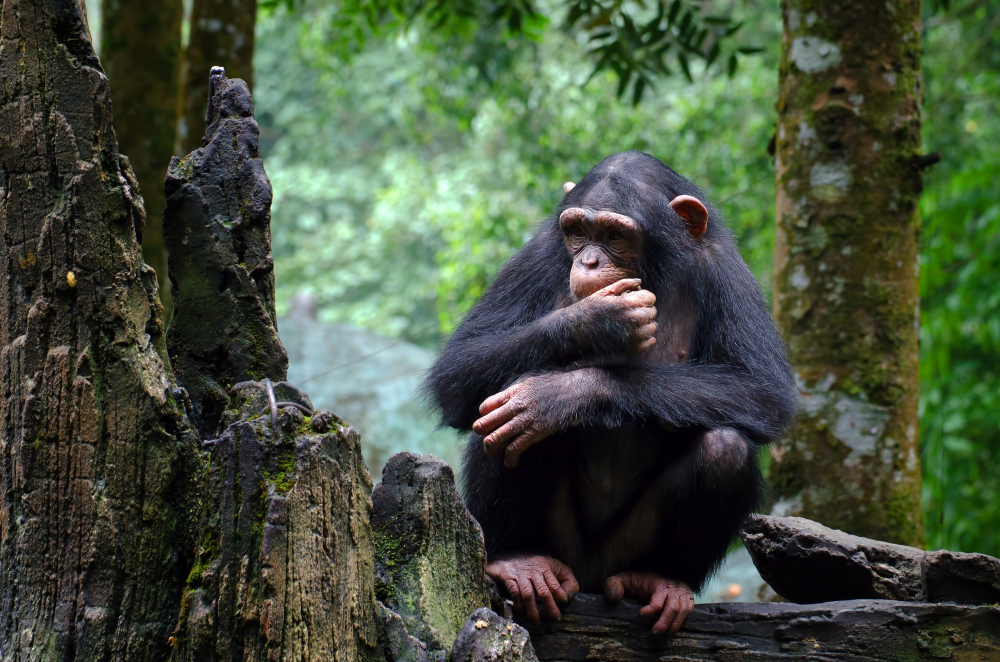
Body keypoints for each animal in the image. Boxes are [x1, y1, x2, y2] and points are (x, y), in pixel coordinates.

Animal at [425, 151, 797, 634]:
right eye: (578, 232)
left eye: (615, 235)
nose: (588, 263)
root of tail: (590, 579)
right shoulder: (537, 255)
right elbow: (458, 369)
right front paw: (599, 320)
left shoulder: (727, 271)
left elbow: (762, 389)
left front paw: (558, 395)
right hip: (561, 547)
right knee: (502, 412)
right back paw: (518, 559)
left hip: (622, 553)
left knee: (725, 447)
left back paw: (660, 578)